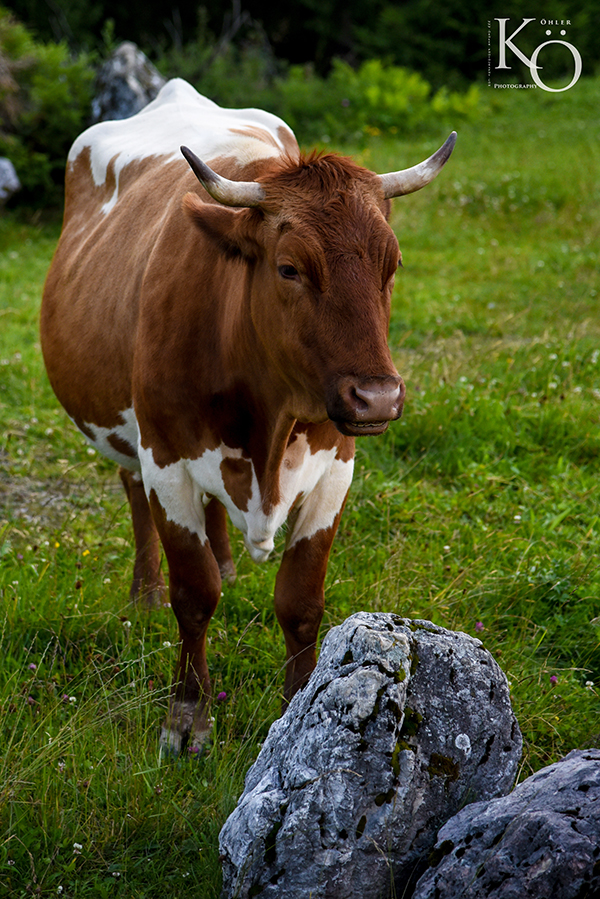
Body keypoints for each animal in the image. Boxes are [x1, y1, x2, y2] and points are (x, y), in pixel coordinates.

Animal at [41, 78, 455, 754]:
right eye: (289, 268)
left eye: (391, 266)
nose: (377, 398)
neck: (270, 425)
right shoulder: (165, 457)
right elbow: (194, 593)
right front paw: (187, 718)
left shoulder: (336, 464)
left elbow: (300, 602)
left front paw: (297, 712)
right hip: (127, 432)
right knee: (132, 494)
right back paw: (145, 594)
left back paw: (229, 562)